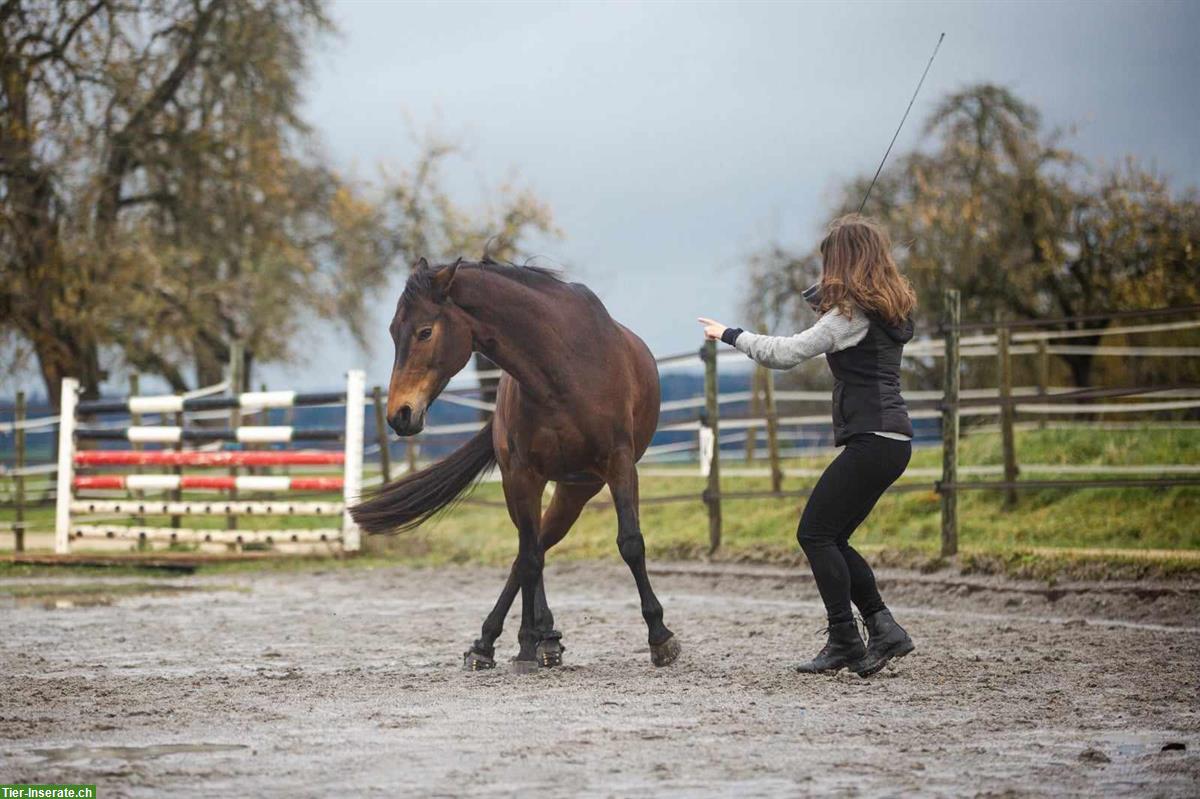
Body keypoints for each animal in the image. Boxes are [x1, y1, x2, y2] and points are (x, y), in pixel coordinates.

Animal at [350, 257, 681, 667]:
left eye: (425, 331)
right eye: (394, 331)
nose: (400, 414)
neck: (561, 367)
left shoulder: (619, 464)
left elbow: (630, 543)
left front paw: (660, 636)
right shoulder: (523, 475)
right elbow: (529, 559)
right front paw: (526, 641)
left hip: (576, 489)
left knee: (539, 544)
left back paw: (539, 637)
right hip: (532, 487)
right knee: (531, 550)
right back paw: (515, 640)